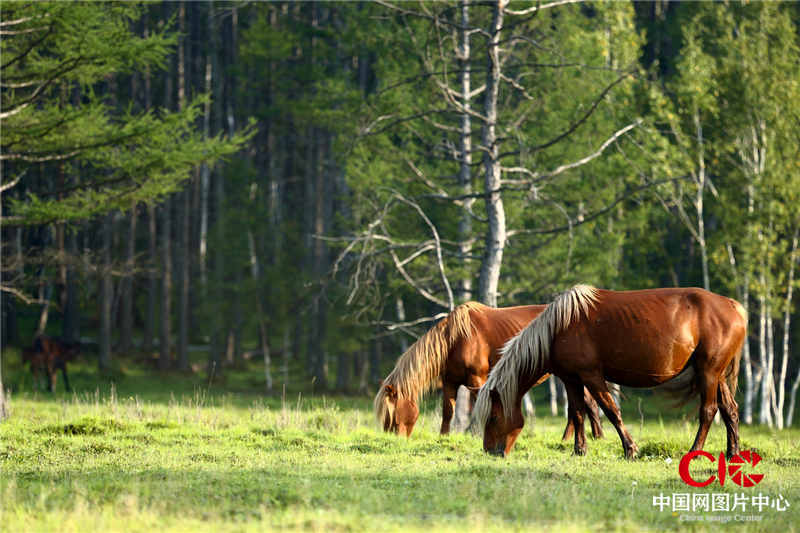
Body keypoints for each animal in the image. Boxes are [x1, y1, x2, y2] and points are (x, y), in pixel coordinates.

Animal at [376, 302, 608, 438]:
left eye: (391, 414)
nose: (392, 440)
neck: (456, 339)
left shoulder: (476, 380)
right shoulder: (450, 382)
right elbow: (448, 411)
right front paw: (444, 438)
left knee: (587, 403)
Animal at [472, 284, 748, 460]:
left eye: (493, 418)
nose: (490, 451)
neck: (558, 329)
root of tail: (734, 306)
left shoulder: (592, 375)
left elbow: (611, 410)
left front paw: (630, 449)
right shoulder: (570, 379)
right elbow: (578, 413)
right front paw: (579, 450)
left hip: (708, 372)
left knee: (708, 411)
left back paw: (694, 452)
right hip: (716, 374)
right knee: (730, 410)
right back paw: (732, 453)